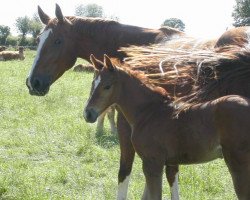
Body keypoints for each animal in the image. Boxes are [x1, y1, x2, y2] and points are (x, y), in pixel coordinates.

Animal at [84, 54, 250, 199]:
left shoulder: (152, 163)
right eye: (92, 83)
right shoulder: (168, 162)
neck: (148, 111)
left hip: (239, 165)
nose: (88, 114)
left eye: (107, 86)